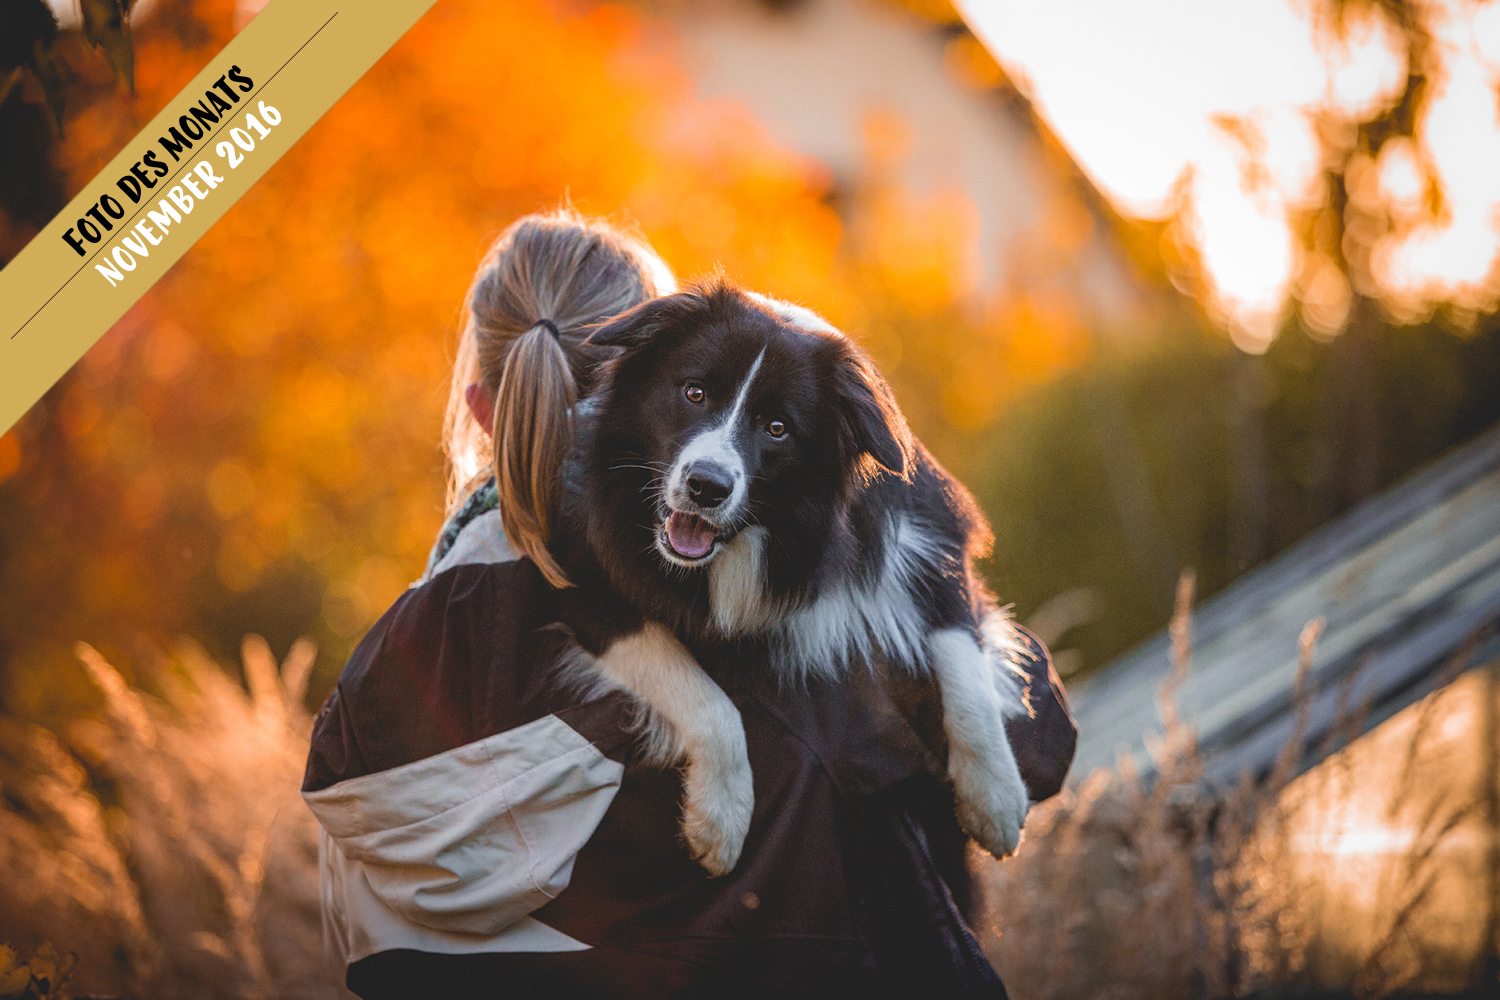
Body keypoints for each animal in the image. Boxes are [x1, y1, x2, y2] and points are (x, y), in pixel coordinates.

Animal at [552, 281, 1032, 875]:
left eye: (777, 428)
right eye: (693, 393)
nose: (706, 486)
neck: (755, 537)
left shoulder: (928, 534)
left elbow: (961, 654)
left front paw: (996, 799)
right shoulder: (585, 580)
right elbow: (708, 700)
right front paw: (721, 820)